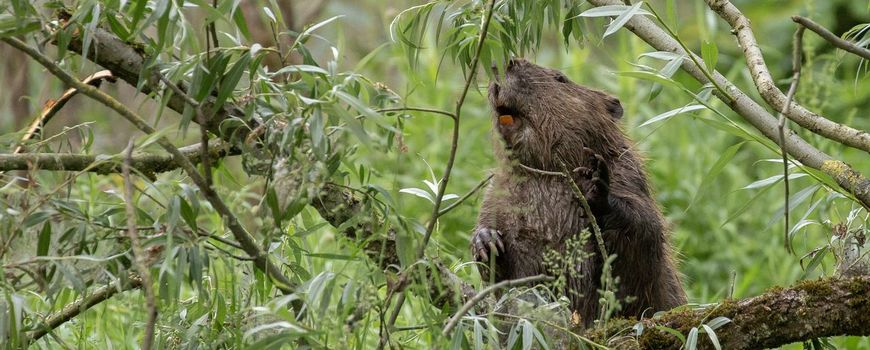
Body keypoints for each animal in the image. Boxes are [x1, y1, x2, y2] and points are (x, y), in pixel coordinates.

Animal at [474, 58, 684, 326]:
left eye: (561, 78)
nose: (508, 61)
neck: (546, 174)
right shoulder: (495, 194)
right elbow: (500, 283)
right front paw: (486, 240)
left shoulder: (628, 176)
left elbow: (645, 236)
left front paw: (594, 187)